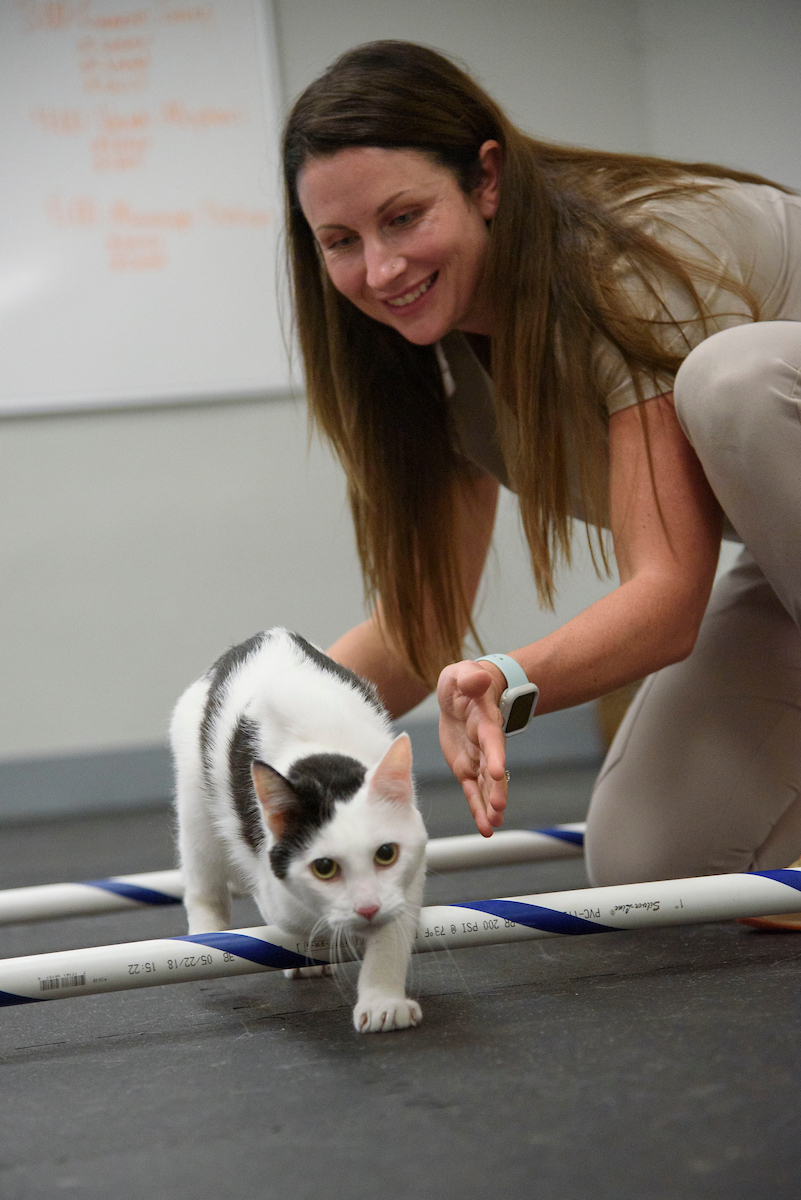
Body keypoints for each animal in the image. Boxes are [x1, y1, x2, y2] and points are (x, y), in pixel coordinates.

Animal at [169, 628, 429, 1032]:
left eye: (386, 853)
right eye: (324, 867)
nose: (367, 906)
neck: (323, 758)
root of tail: (266, 634)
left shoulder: (409, 870)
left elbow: (392, 930)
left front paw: (383, 1002)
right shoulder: (273, 877)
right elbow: (292, 912)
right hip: (196, 808)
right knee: (202, 880)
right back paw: (208, 933)